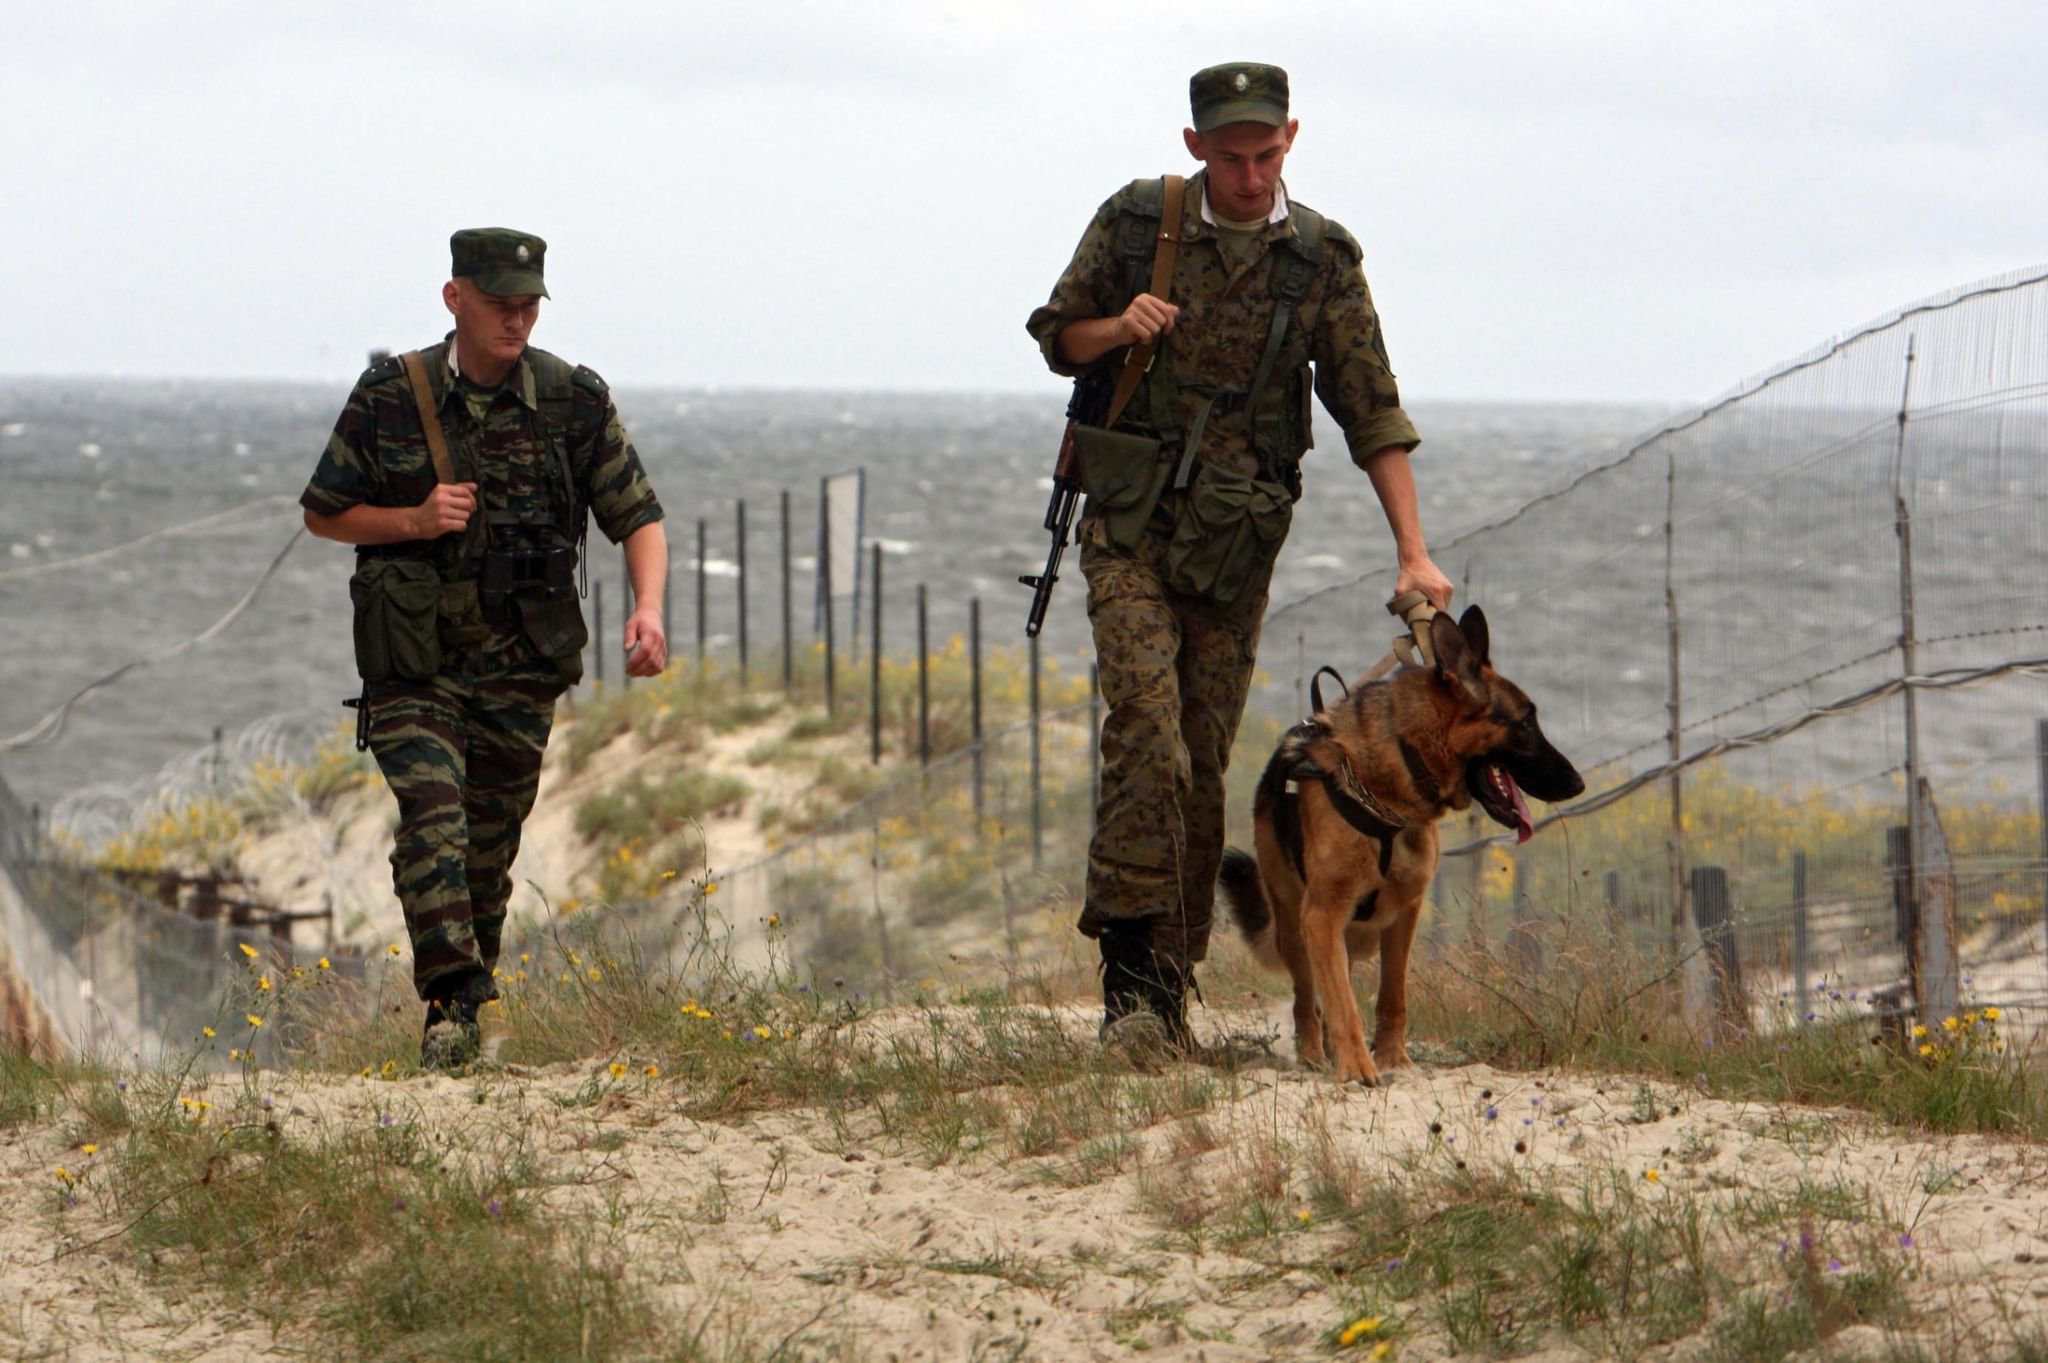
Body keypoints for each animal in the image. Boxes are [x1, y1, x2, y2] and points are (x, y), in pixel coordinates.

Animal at [1212, 605, 1581, 1080]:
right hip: (1295, 925)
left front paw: (1391, 1058)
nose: (1578, 783)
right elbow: (1343, 1003)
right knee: (1305, 998)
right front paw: (1357, 1066)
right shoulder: (1322, 916)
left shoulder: (1405, 913)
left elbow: (1391, 995)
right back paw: (1313, 1054)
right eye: (1526, 722)